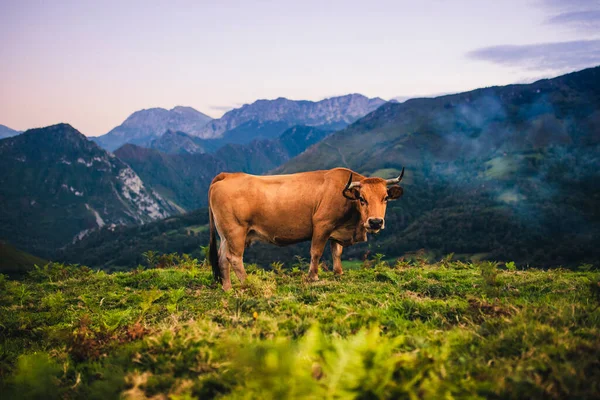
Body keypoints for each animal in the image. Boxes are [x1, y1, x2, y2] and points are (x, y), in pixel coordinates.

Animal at [209, 167, 406, 290]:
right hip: (236, 231)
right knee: (234, 258)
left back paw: (227, 288)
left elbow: (337, 252)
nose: (375, 222)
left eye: (385, 198)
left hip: (225, 234)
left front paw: (338, 273)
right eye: (362, 199)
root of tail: (228, 175)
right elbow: (316, 252)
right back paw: (249, 283)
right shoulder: (322, 224)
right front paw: (313, 276)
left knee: (222, 258)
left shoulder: (336, 230)